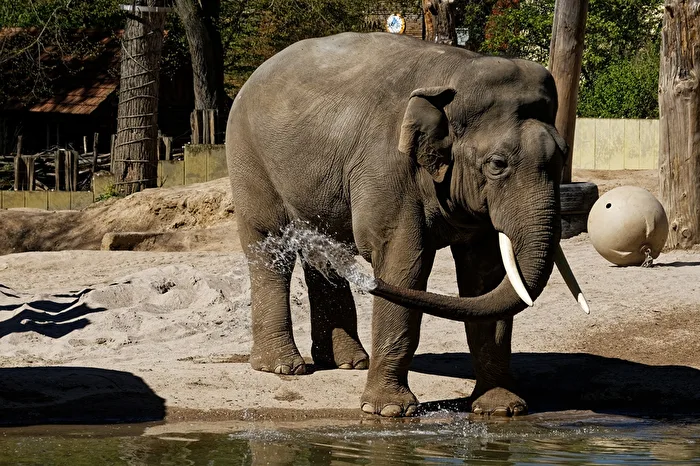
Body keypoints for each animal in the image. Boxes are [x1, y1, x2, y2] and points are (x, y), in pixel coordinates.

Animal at [226, 32, 587, 417]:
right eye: (497, 164)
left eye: (563, 155)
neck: (457, 75)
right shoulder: (387, 170)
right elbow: (403, 264)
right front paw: (388, 411)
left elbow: (486, 276)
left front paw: (501, 410)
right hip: (248, 157)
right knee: (270, 246)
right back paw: (282, 367)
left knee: (322, 256)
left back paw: (349, 363)